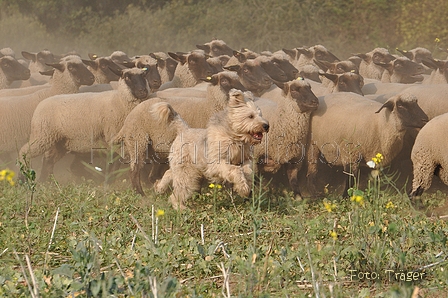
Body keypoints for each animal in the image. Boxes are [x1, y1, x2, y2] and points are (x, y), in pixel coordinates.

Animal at [18, 67, 150, 179]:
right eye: (127, 77)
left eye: (144, 76)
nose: (142, 91)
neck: (119, 101)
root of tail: (40, 105)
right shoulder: (113, 137)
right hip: (42, 136)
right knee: (25, 152)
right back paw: (23, 178)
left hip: (59, 141)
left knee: (48, 161)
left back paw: (46, 182)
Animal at [114, 70, 248, 196]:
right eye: (224, 81)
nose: (244, 91)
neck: (209, 106)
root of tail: (127, 120)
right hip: (138, 141)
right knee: (134, 171)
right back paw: (141, 194)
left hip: (155, 148)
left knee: (152, 174)